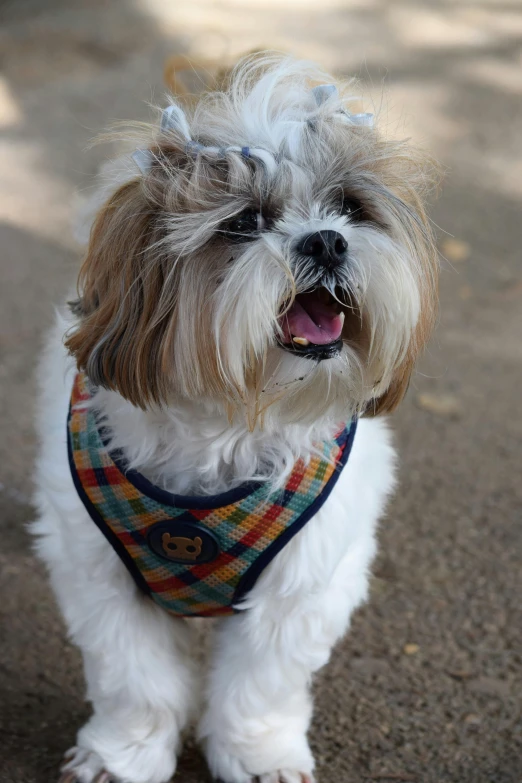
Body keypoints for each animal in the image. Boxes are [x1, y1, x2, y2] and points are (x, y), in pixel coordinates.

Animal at [32, 53, 436, 783]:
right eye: (244, 223)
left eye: (349, 208)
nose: (328, 241)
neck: (231, 417)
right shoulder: (101, 579)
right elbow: (134, 679)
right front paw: (123, 755)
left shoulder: (299, 589)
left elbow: (260, 684)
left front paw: (260, 754)